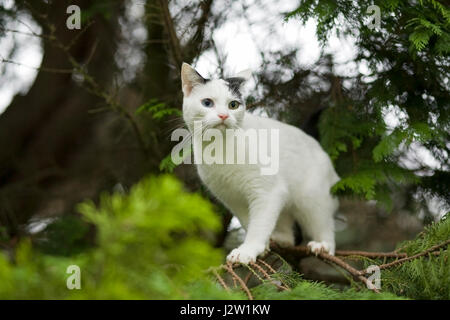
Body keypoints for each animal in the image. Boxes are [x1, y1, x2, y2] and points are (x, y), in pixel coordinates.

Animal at [181, 63, 340, 264]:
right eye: (207, 103)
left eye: (233, 105)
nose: (224, 115)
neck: (220, 149)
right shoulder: (233, 199)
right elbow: (250, 223)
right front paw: (260, 248)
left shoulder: (267, 192)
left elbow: (259, 225)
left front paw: (248, 250)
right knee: (286, 227)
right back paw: (280, 239)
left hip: (311, 198)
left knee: (324, 226)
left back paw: (323, 245)